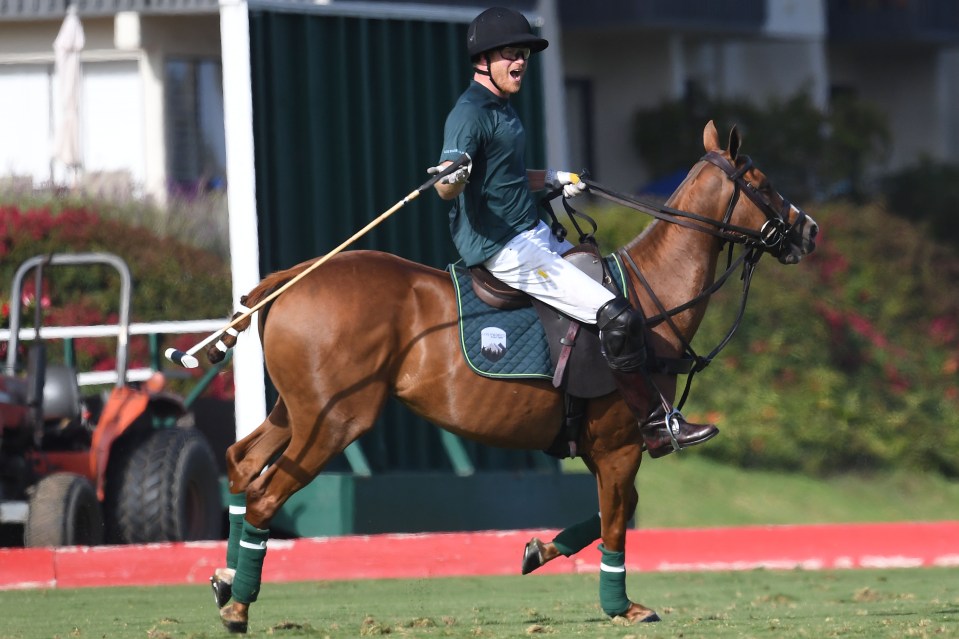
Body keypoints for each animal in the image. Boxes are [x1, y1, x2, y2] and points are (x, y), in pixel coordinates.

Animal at [210, 122, 816, 632]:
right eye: (762, 182)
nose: (809, 230)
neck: (653, 298)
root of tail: (289, 277)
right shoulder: (621, 443)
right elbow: (619, 518)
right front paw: (622, 607)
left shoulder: (600, 446)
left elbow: (612, 511)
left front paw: (538, 550)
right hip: (336, 419)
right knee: (264, 494)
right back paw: (239, 606)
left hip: (298, 409)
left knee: (241, 462)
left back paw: (224, 580)